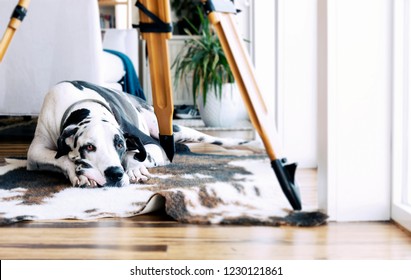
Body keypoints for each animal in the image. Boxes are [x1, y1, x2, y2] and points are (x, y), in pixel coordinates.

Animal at [27, 80, 260, 187]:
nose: (115, 173)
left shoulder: (152, 145)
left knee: (218, 140)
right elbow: (60, 157)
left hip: (171, 129)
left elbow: (139, 154)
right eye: (89, 147)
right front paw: (78, 172)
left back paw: (254, 146)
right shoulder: (35, 151)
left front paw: (135, 167)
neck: (80, 103)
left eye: (120, 145)